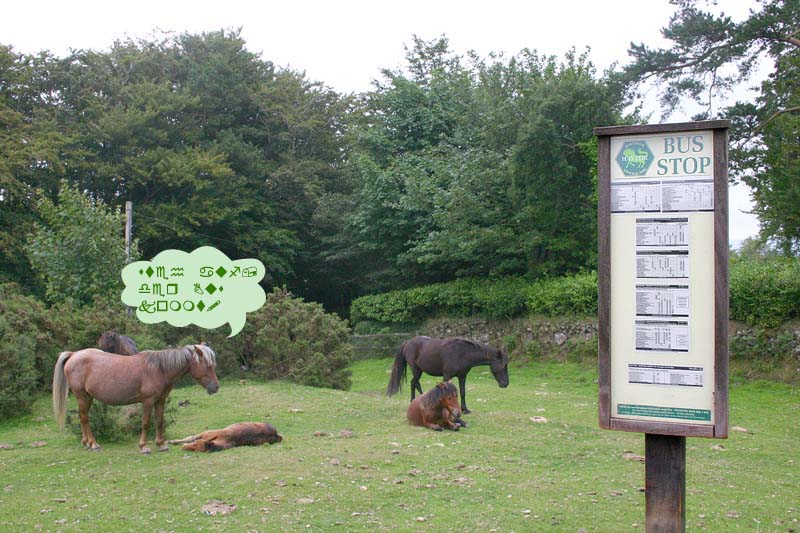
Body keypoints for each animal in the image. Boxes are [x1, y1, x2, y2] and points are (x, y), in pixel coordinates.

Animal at [53, 340, 219, 454]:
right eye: (207, 365)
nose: (216, 387)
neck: (159, 369)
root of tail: (73, 354)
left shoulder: (160, 401)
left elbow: (159, 421)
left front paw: (161, 444)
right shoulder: (148, 401)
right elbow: (145, 422)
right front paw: (144, 446)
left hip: (88, 397)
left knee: (83, 418)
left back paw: (87, 442)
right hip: (82, 396)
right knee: (84, 419)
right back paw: (93, 444)